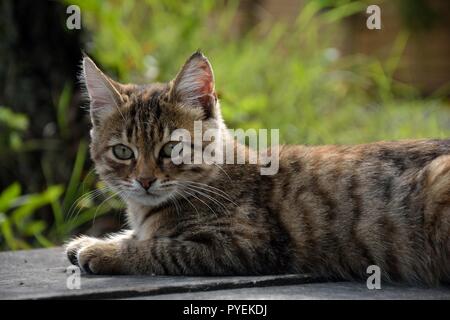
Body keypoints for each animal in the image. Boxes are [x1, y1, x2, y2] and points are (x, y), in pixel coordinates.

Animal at [66, 50, 450, 284]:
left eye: (172, 148)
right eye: (122, 151)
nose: (145, 181)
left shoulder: (243, 244)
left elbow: (158, 249)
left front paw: (103, 251)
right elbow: (143, 237)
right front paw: (94, 239)